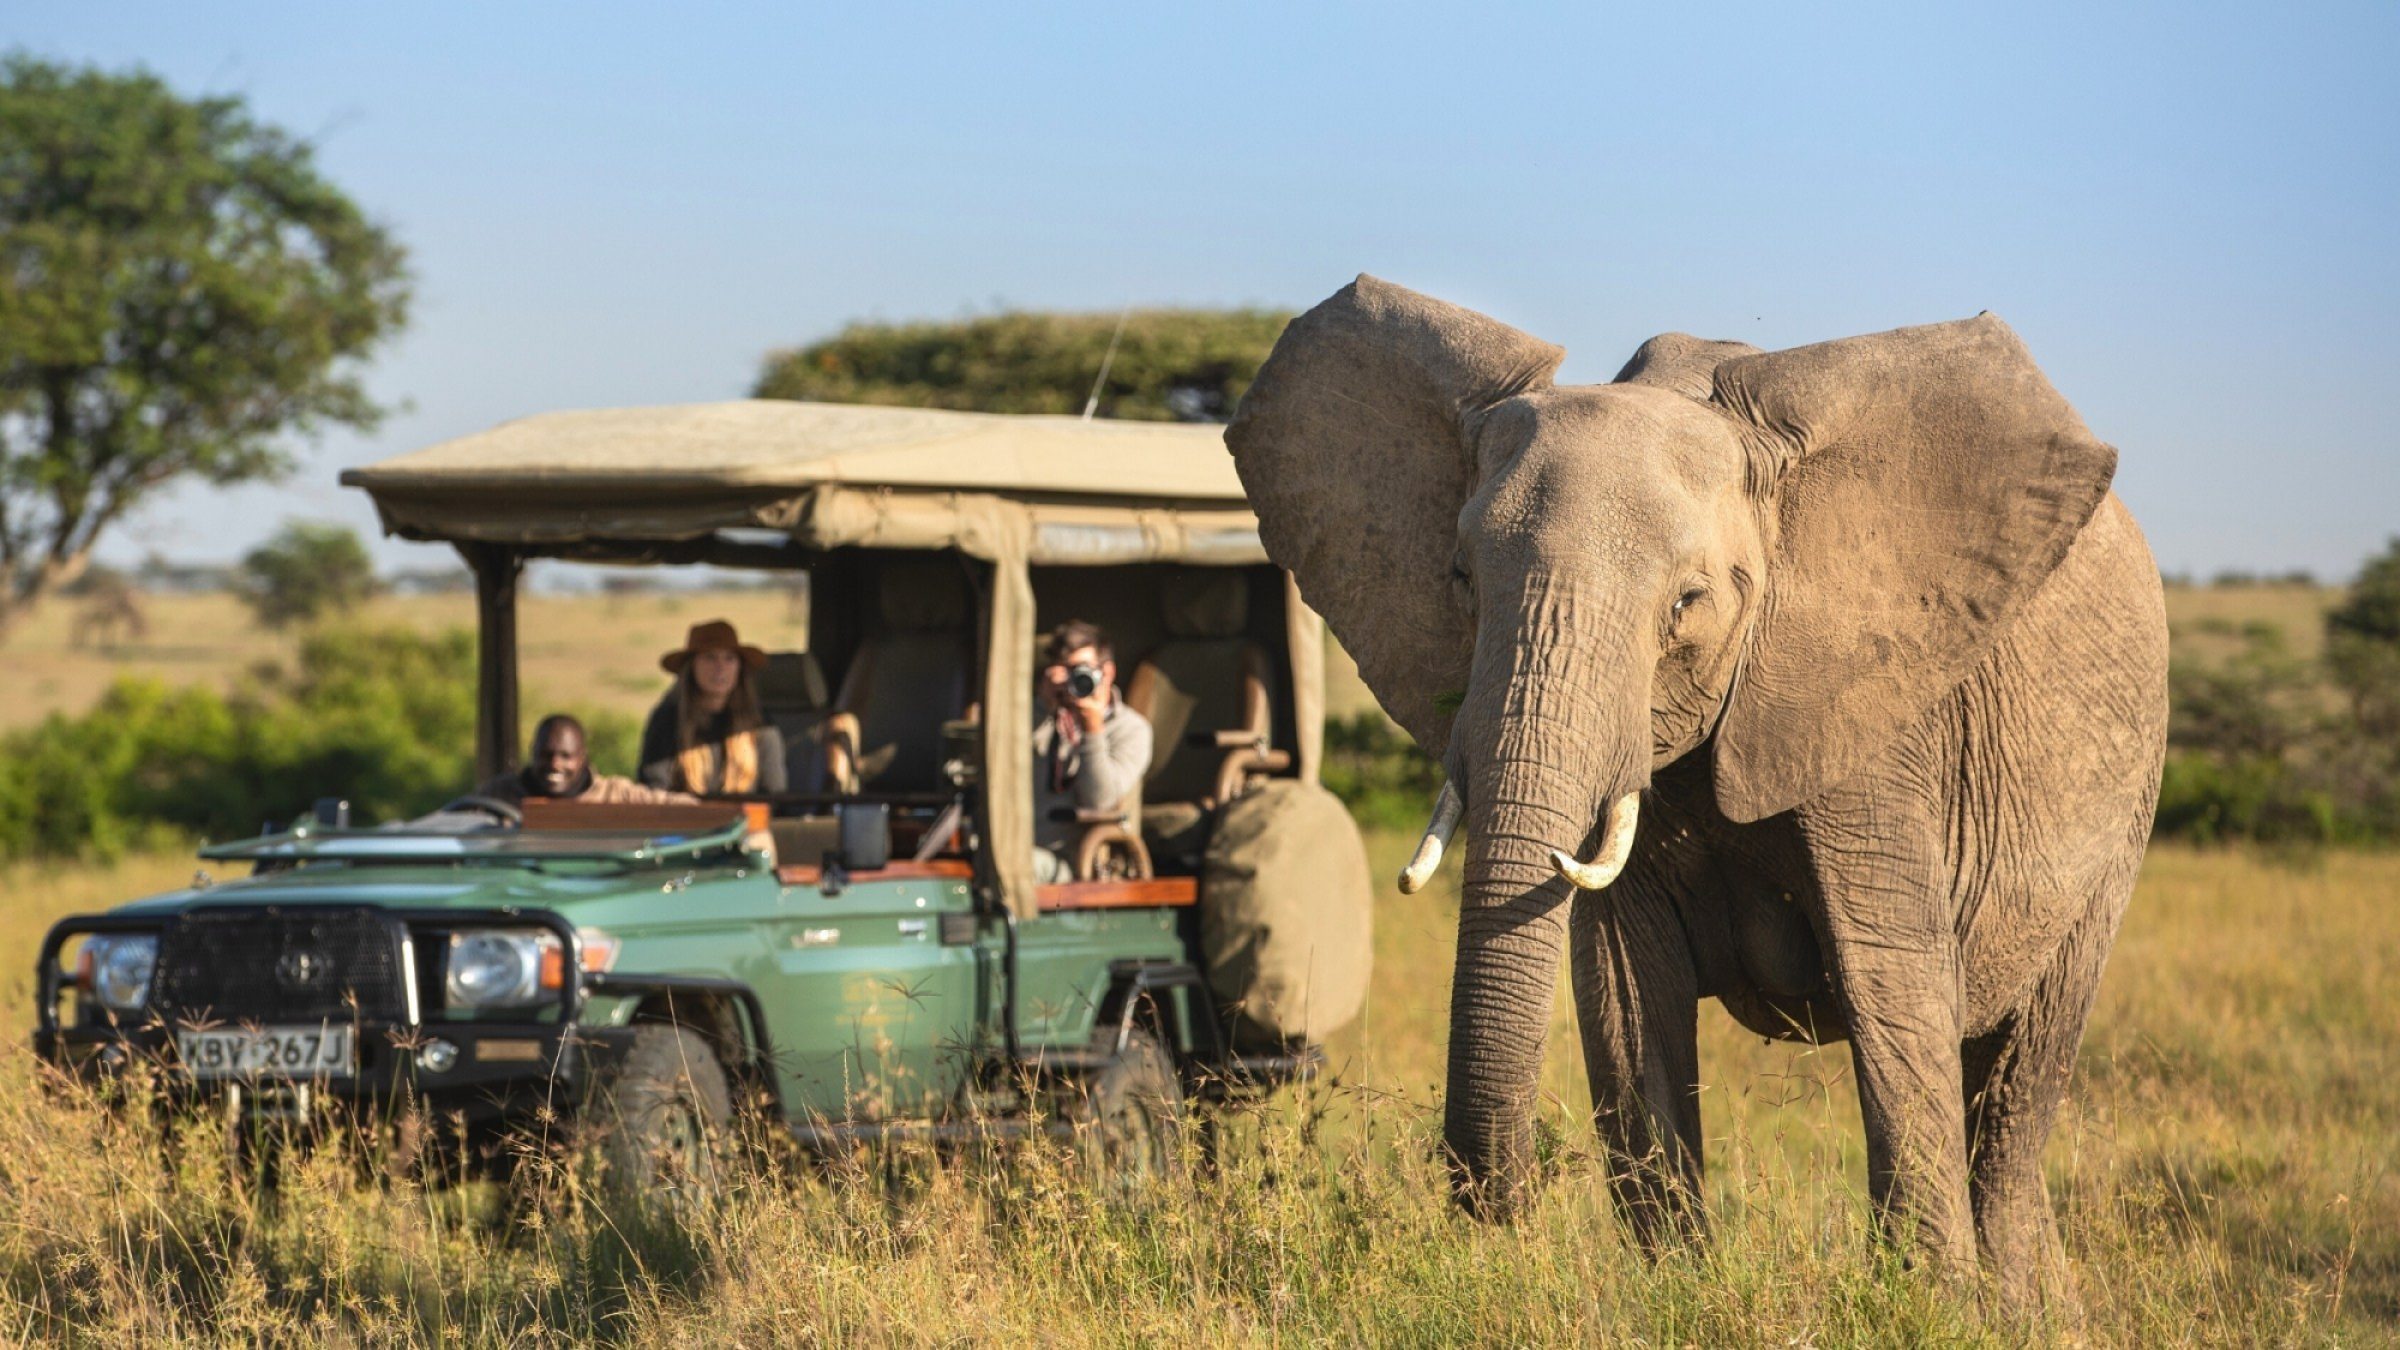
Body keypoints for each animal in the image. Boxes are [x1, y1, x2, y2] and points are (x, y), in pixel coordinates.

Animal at [1228, 270, 2169, 1297]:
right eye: (1461, 579)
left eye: (1688, 602)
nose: (1502, 1205)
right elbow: (1625, 999)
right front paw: (1677, 1294)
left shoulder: (1876, 721)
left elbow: (1893, 989)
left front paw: (1929, 1304)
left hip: (2123, 814)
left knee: (2014, 1088)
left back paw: (2008, 1301)